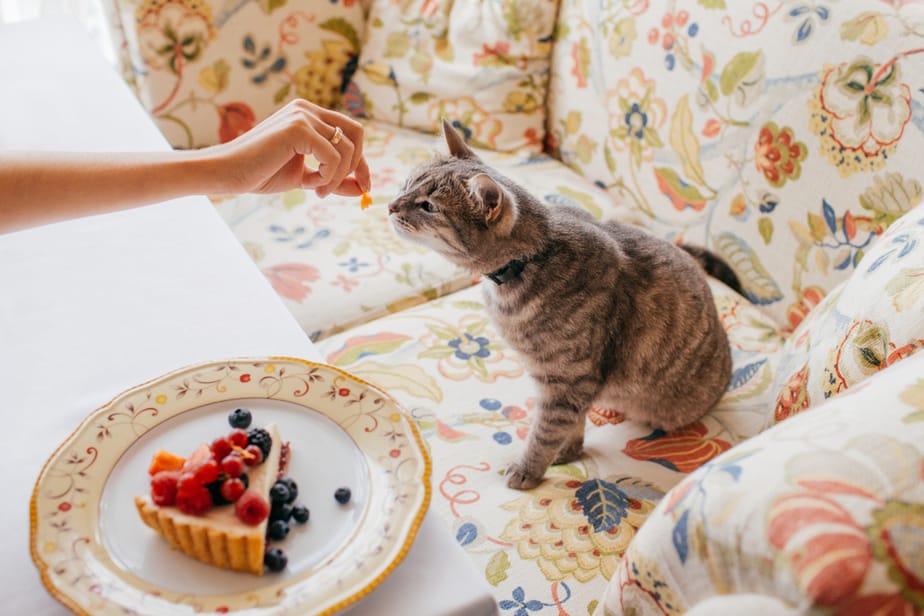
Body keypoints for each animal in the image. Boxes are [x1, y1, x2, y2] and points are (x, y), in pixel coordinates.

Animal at [386, 118, 740, 488]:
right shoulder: (564, 383)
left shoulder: (568, 381)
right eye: (408, 183)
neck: (531, 259)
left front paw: (529, 469)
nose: (391, 205)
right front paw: (568, 450)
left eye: (429, 206)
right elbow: (571, 425)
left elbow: (545, 432)